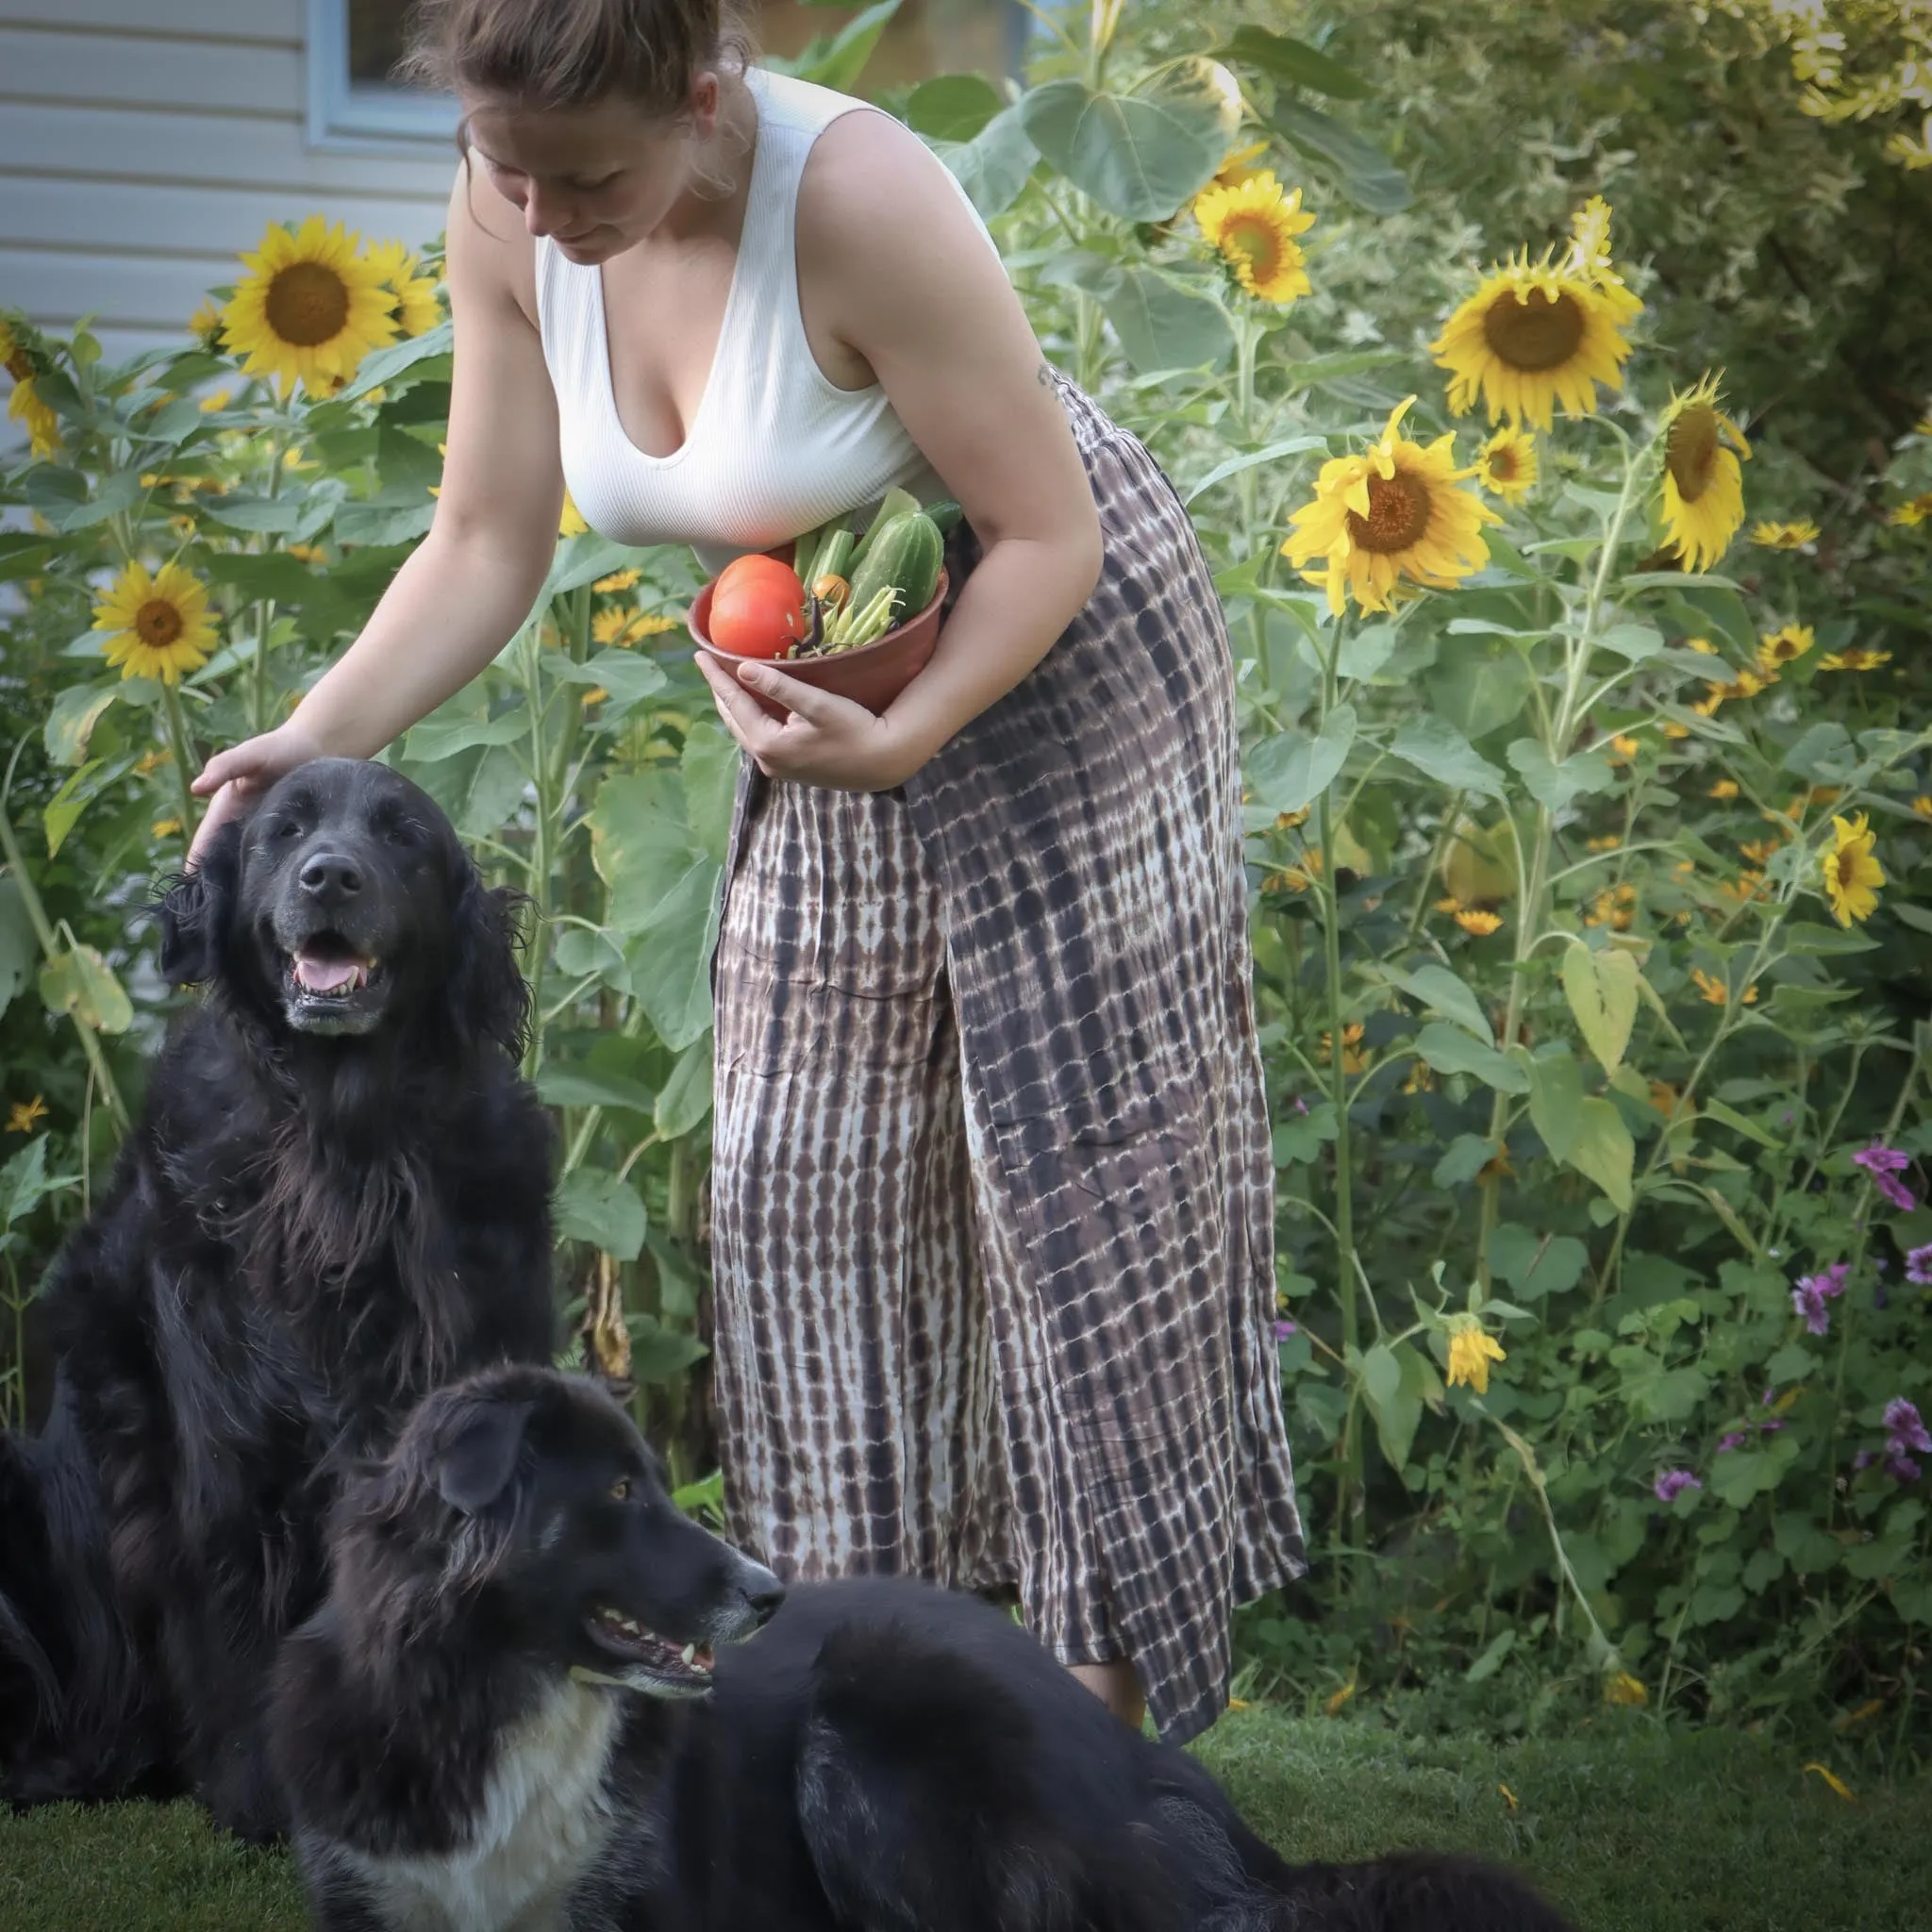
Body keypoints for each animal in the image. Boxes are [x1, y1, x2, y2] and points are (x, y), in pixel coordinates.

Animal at [2, 753, 559, 1839]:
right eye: (283, 830)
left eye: (401, 836)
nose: (329, 877)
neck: (346, 1152)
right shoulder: (230, 1455)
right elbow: (237, 1627)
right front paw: (268, 1800)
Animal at [268, 1359, 1568, 1932]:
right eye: (621, 1492)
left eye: (650, 1477)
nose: (769, 1591)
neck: (504, 1696)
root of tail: (1139, 1761)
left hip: (873, 1719)